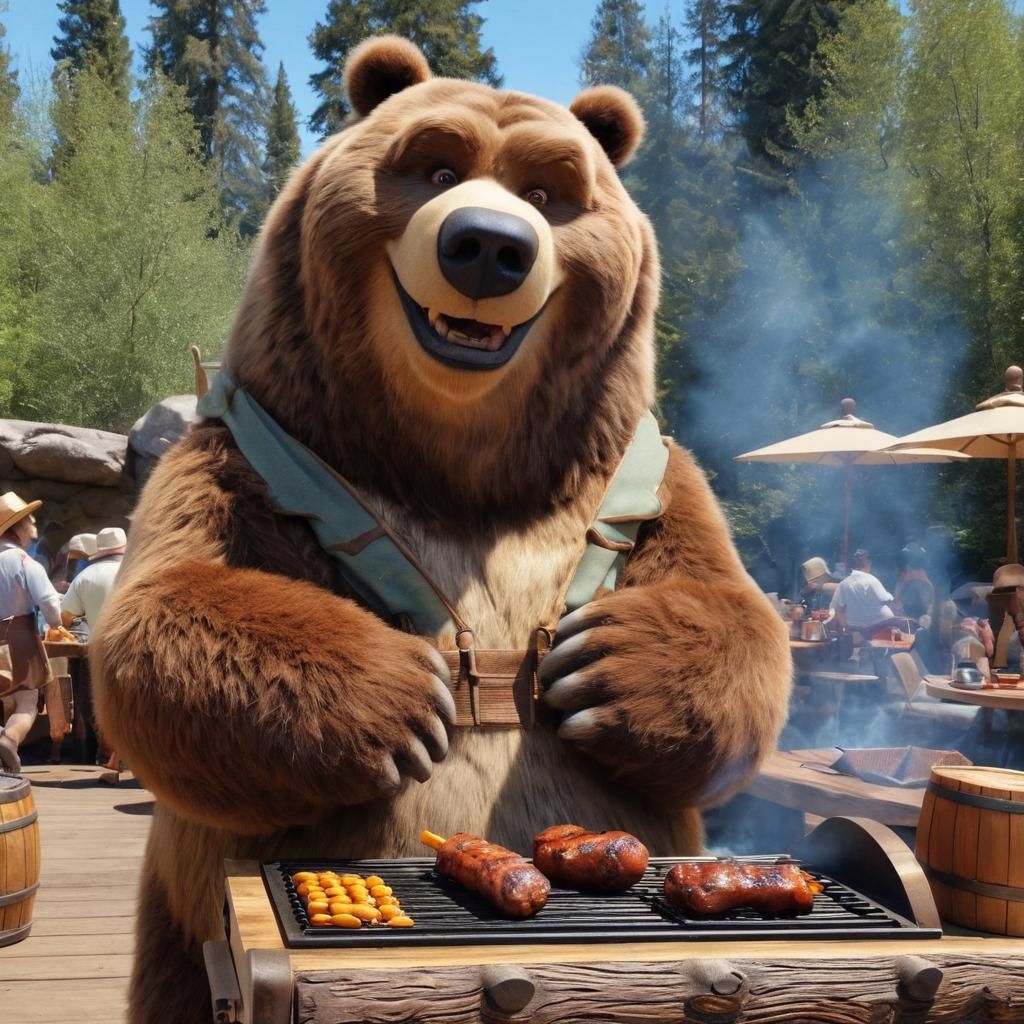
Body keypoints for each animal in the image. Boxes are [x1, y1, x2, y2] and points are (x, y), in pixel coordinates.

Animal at [90, 36, 792, 1024]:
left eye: (548, 190)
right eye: (435, 168)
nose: (490, 246)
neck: (459, 470)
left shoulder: (647, 474)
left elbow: (732, 613)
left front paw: (598, 666)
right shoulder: (244, 451)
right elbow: (164, 613)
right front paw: (405, 699)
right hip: (188, 928)